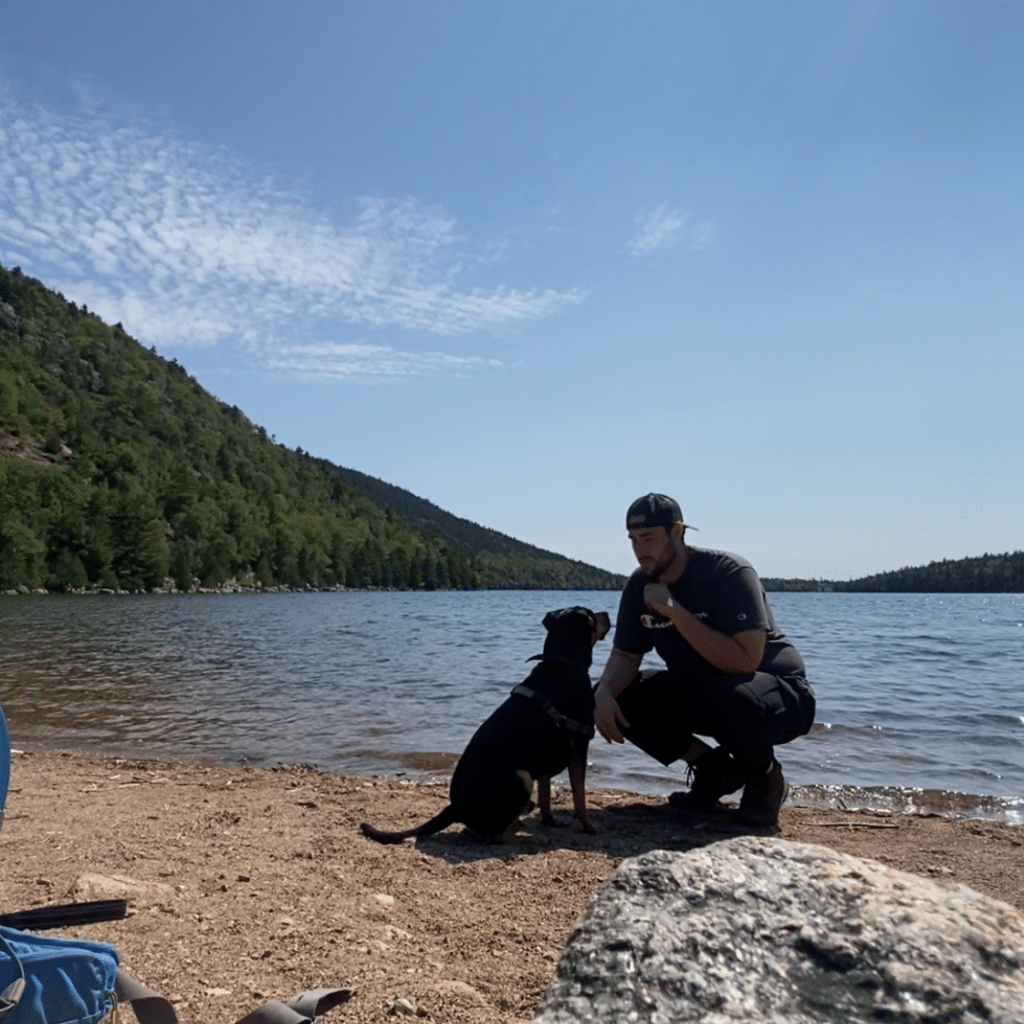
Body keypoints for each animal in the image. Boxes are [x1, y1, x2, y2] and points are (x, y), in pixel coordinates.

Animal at [360, 602, 606, 843]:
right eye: (592, 614)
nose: (607, 613)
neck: (562, 662)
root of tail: (455, 808)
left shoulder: (546, 756)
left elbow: (546, 795)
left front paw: (550, 821)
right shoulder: (579, 747)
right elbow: (580, 796)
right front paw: (590, 828)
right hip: (521, 777)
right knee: (495, 836)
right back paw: (530, 837)